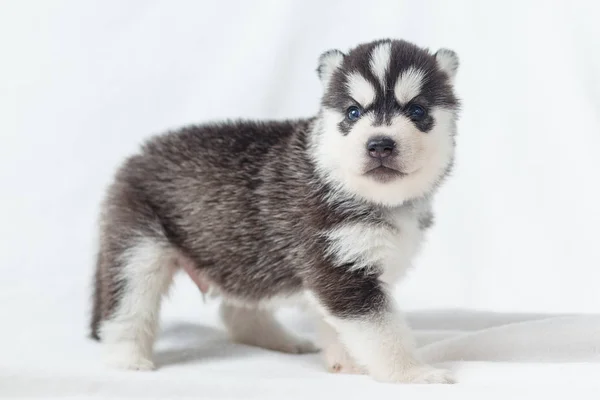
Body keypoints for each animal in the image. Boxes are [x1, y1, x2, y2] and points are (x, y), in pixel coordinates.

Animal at [90, 39, 460, 382]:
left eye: (417, 111)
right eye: (353, 113)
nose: (380, 144)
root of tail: (139, 153)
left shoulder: (340, 274)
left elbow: (338, 324)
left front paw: (347, 363)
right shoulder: (341, 270)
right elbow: (384, 333)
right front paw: (412, 372)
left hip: (239, 257)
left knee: (237, 312)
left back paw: (281, 340)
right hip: (138, 249)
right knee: (128, 306)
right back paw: (127, 360)